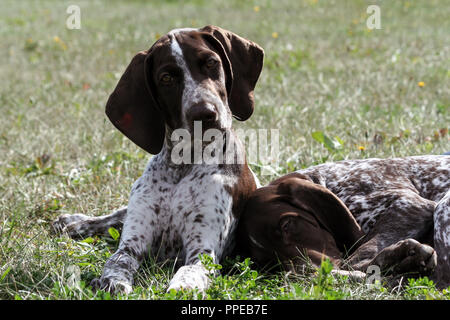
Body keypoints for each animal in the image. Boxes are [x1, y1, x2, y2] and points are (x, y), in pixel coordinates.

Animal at [237, 155, 448, 288]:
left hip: (443, 207)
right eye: (269, 262)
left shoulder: (410, 205)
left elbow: (357, 258)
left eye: (287, 225)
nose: (303, 274)